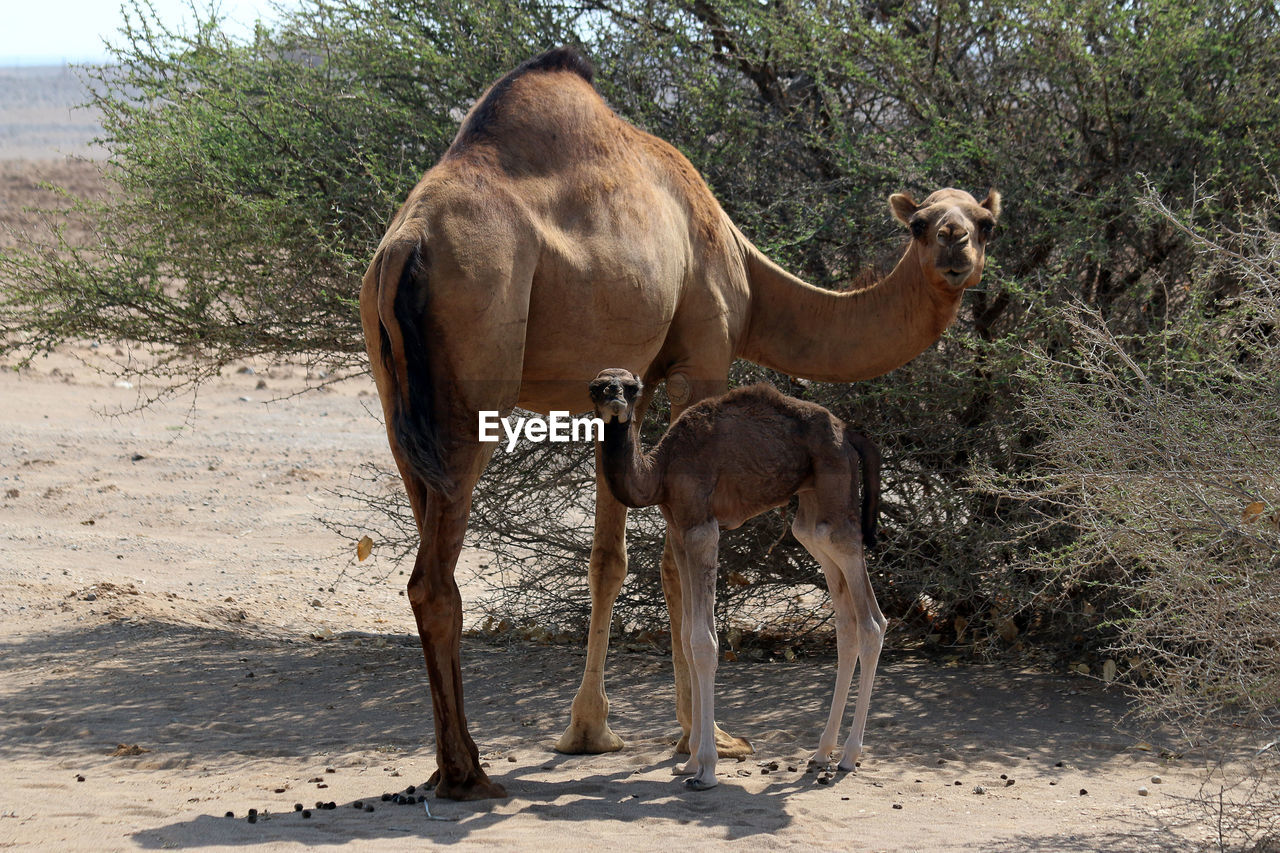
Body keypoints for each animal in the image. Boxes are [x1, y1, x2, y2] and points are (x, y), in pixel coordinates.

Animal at [586, 368, 880, 788]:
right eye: (596, 388)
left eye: (632, 388)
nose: (615, 403)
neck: (659, 472)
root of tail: (850, 434)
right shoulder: (679, 529)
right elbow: (687, 638)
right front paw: (689, 763)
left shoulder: (702, 528)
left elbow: (703, 642)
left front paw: (706, 768)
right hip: (813, 516)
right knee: (846, 620)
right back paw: (822, 753)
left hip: (836, 500)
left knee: (872, 622)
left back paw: (849, 757)